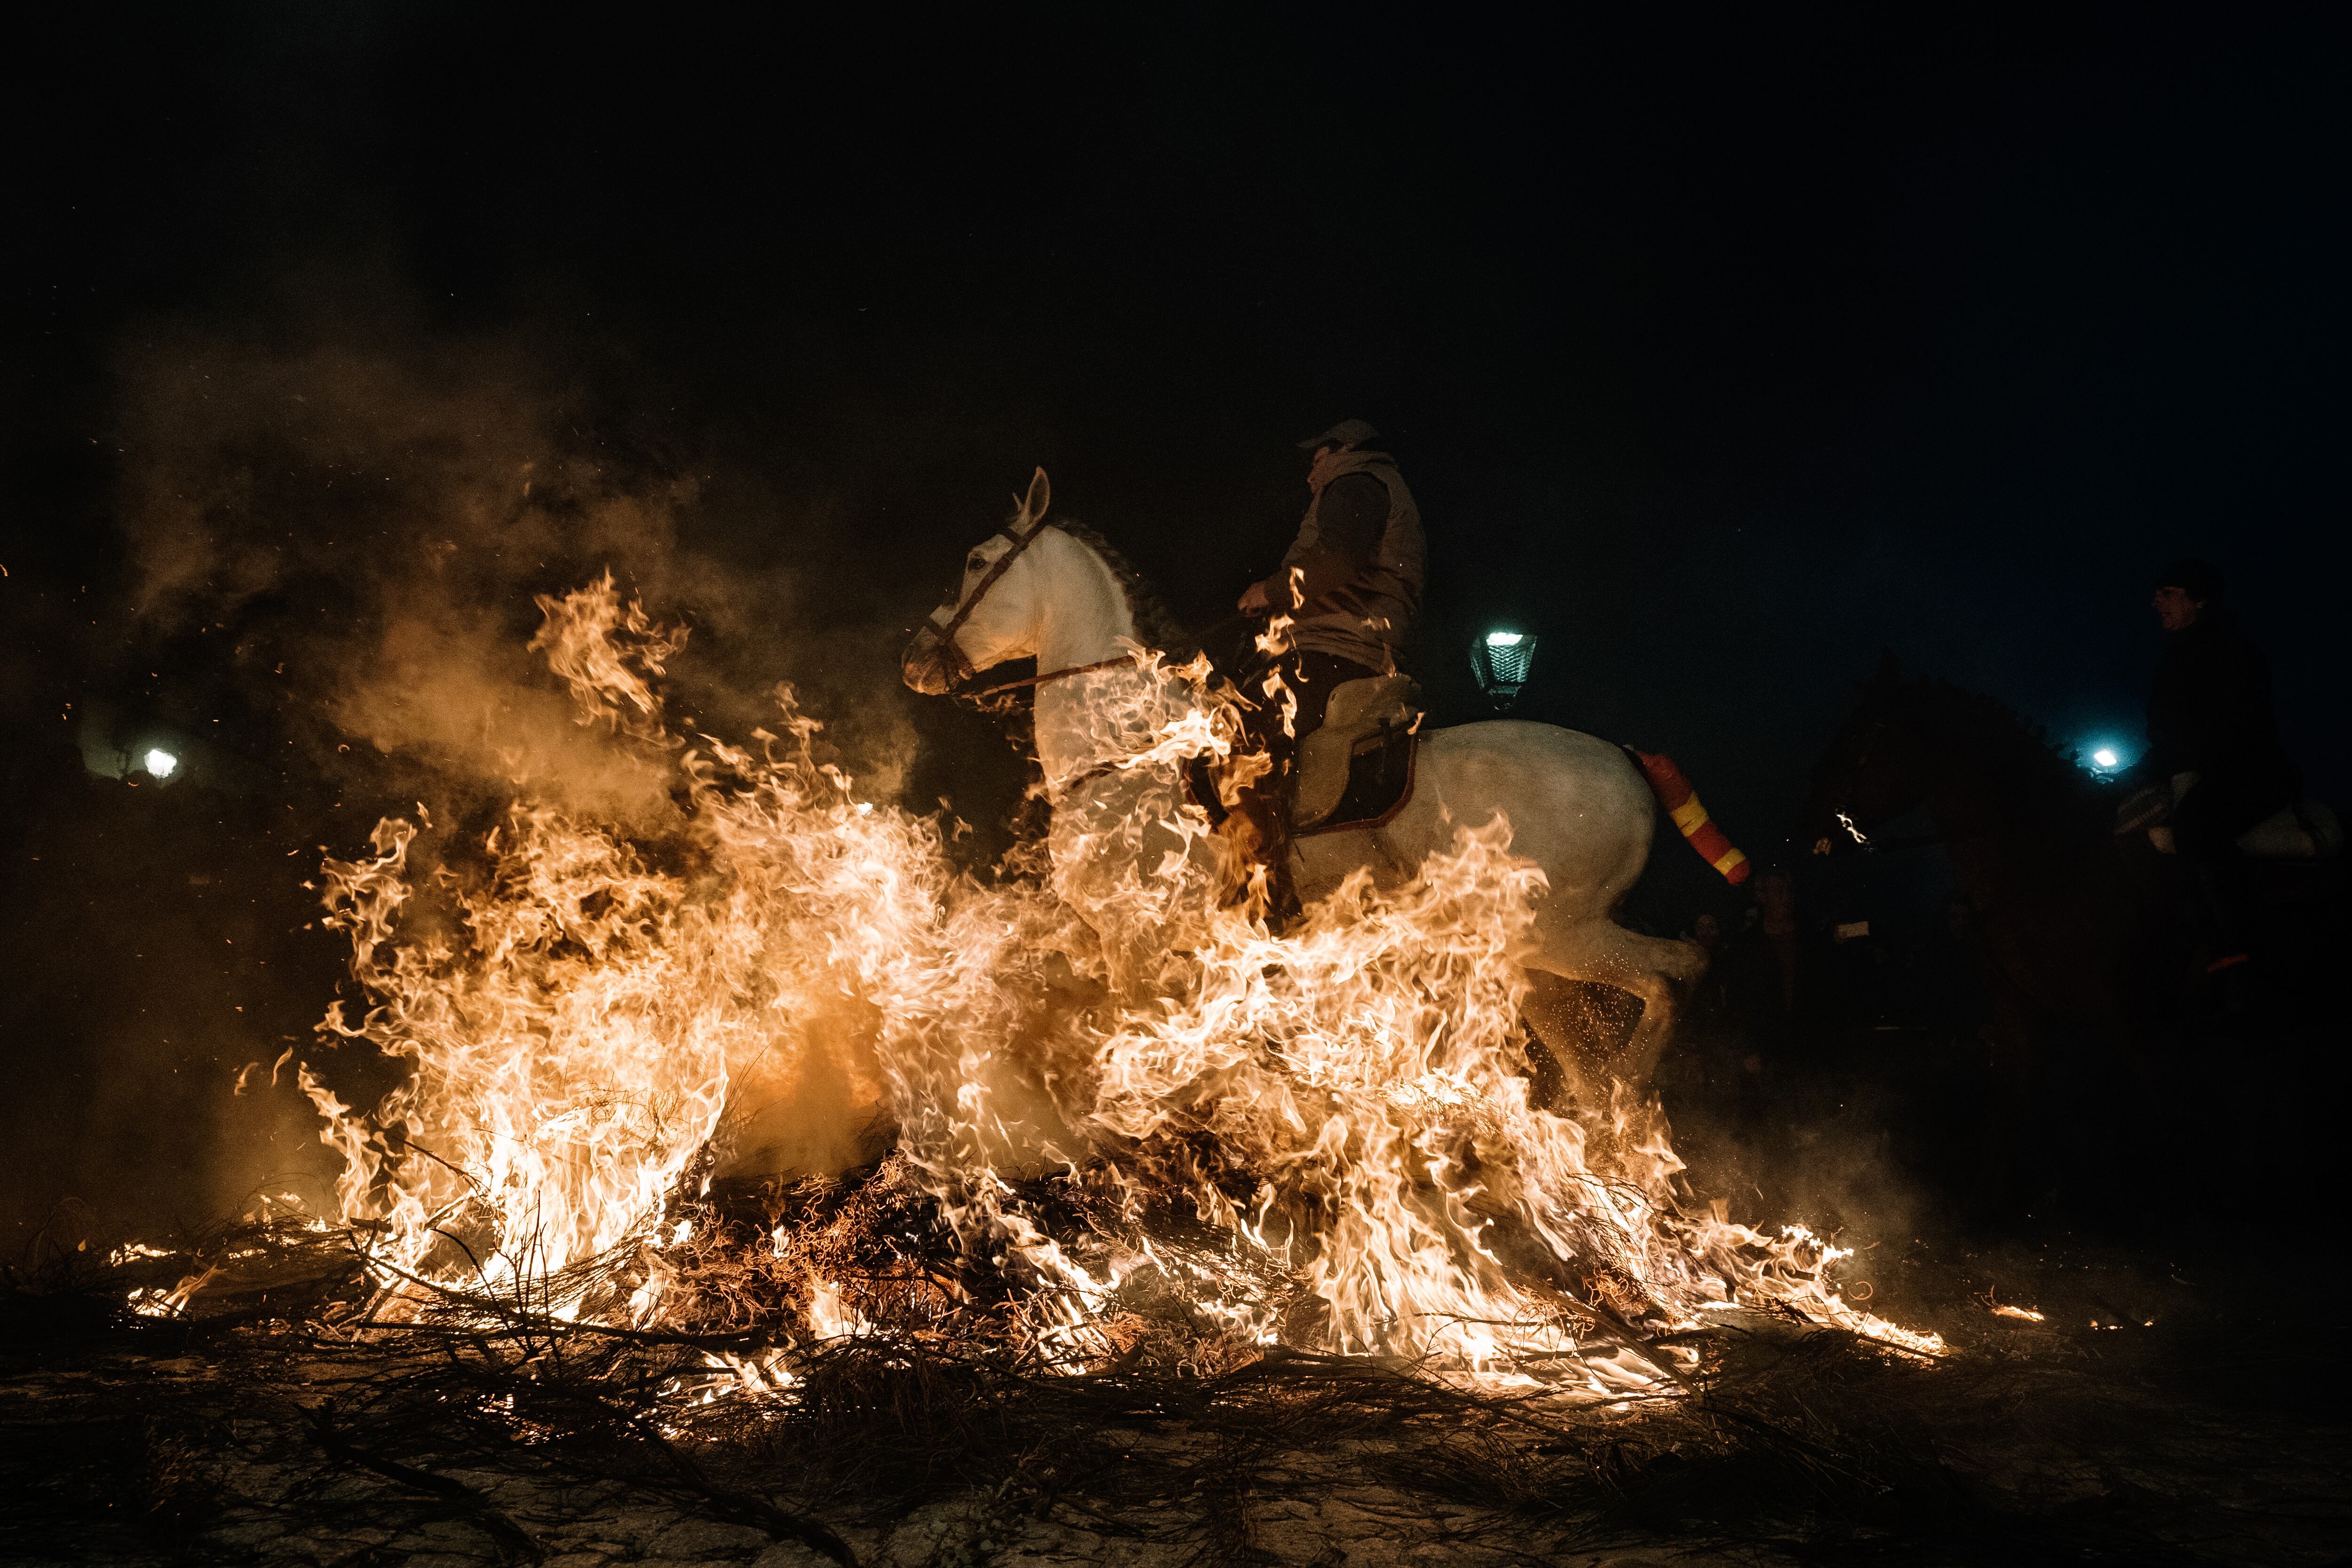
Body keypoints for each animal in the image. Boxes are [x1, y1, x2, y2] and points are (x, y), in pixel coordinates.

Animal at [903, 472, 1712, 1086]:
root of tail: (1627, 763)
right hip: (1533, 959)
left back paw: (1628, 1093)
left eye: (976, 561)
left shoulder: (1138, 938)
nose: (915, 657)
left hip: (1565, 934)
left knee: (1674, 976)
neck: (1128, 746)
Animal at [1797, 649, 2333, 1213]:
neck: (2047, 864)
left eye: (1860, 736)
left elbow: (2177, 1125)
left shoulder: (2134, 1024)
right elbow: (2002, 1124)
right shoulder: (2018, 1017)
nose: (1805, 821)